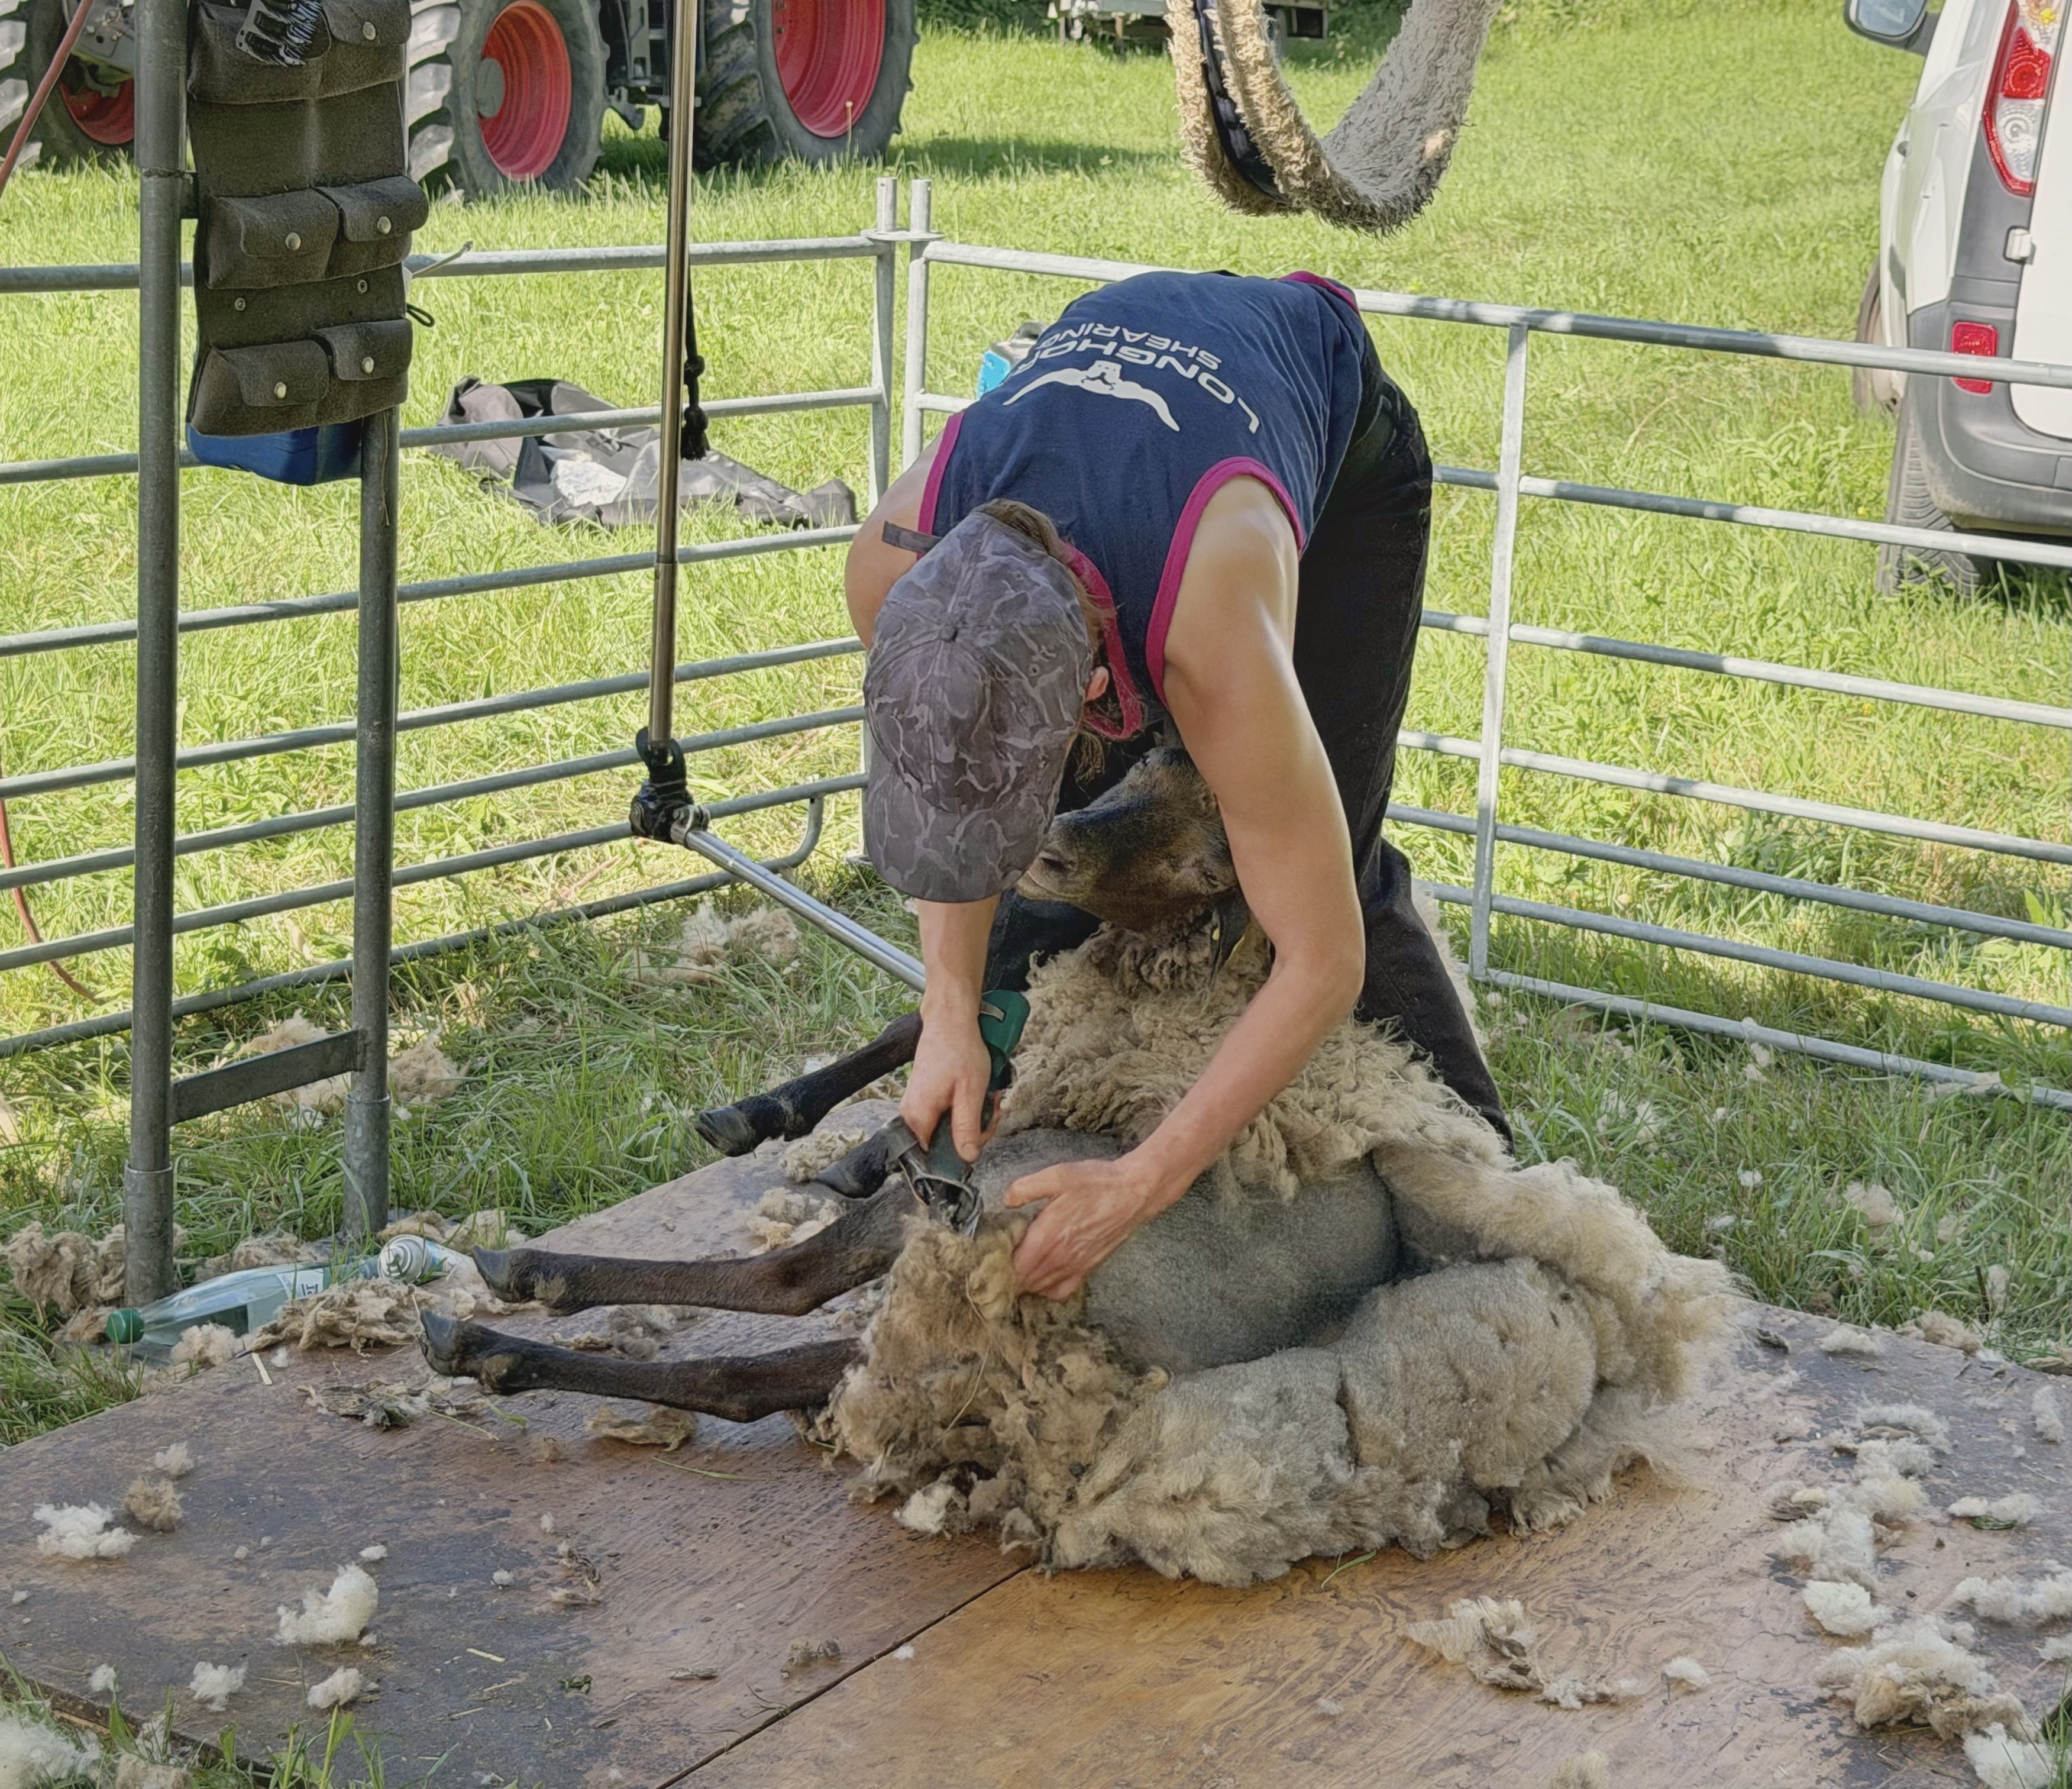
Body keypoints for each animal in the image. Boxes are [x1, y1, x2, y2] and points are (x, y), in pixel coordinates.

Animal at [425, 750, 1732, 1585]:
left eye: (1212, 860)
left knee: (777, 1309)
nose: (1048, 846)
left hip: (976, 1247)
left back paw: (502, 1313)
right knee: (778, 1345)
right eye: (1143, 762)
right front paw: (807, 1123)